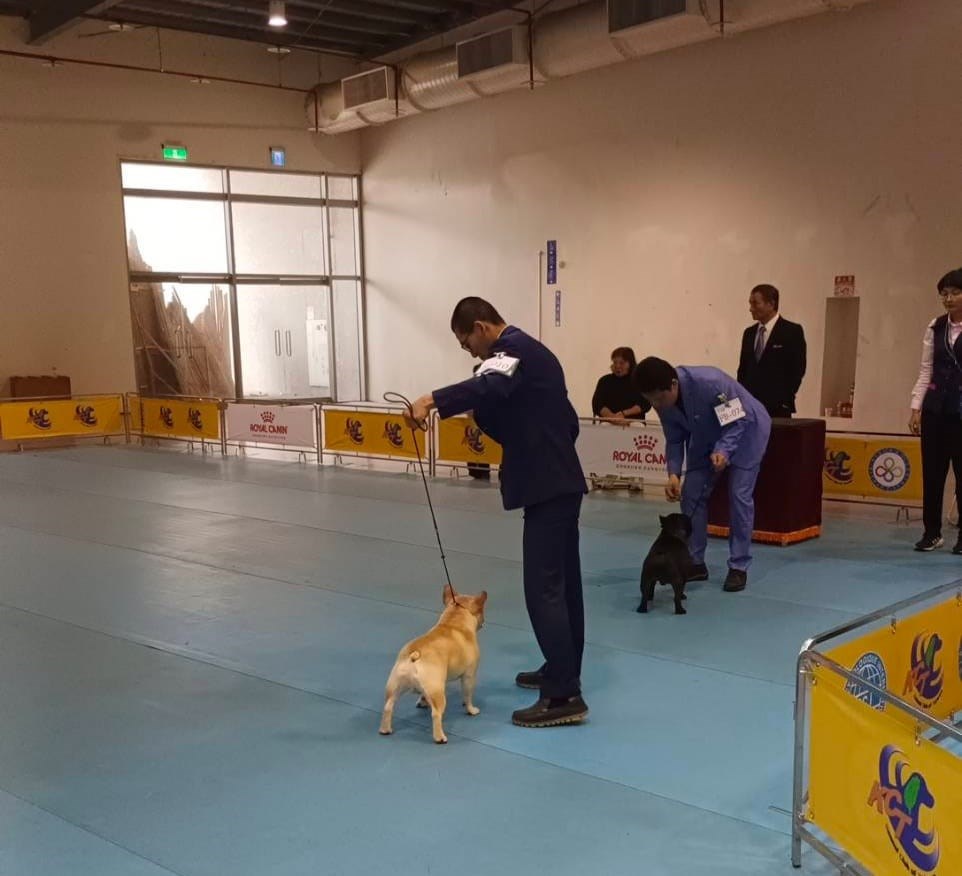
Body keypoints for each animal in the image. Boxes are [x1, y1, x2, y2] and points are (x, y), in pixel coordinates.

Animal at [379, 584, 488, 744]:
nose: (483, 621)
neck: (453, 622)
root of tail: (414, 655)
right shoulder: (469, 675)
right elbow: (467, 695)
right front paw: (471, 709)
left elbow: (424, 695)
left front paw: (422, 702)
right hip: (437, 692)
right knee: (436, 714)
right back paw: (440, 737)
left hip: (395, 685)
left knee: (388, 706)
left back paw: (385, 729)